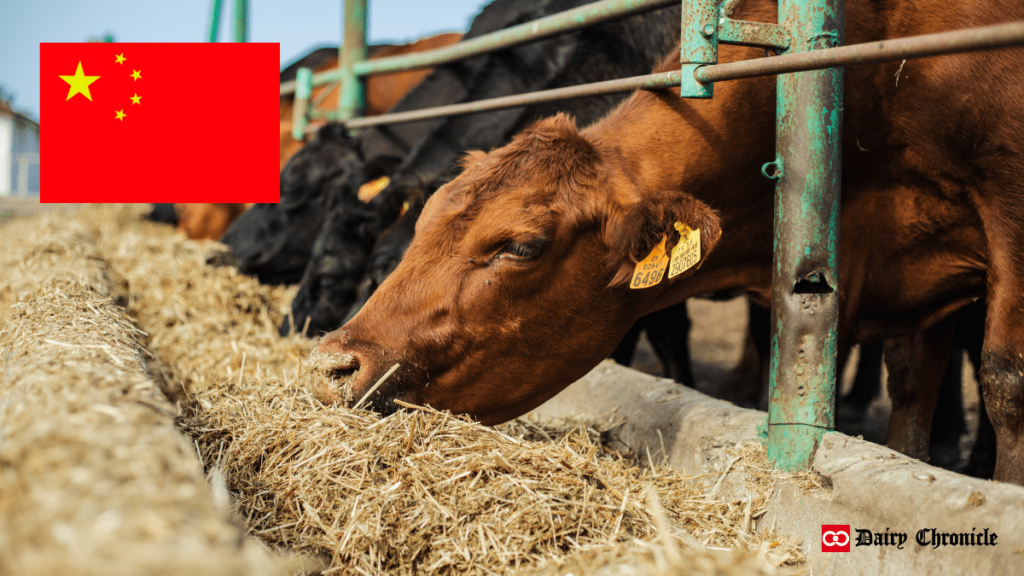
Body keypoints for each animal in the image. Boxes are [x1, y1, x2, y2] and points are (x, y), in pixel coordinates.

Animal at [311, 0, 1024, 481]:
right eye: (423, 224)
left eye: (521, 246)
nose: (332, 365)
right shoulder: (917, 277)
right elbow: (911, 391)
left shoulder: (1005, 195)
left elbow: (1004, 379)